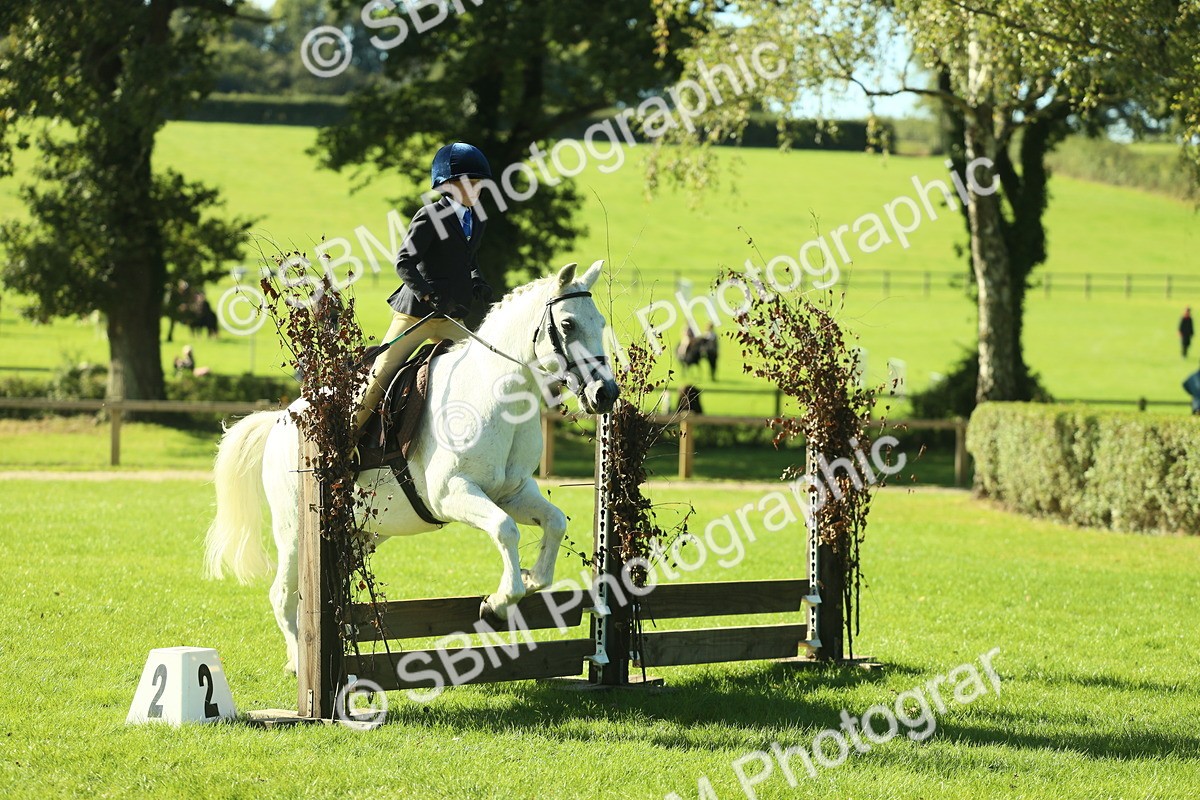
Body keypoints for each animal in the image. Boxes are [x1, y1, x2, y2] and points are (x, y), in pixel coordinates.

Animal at [203, 261, 619, 672]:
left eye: (600, 322)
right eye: (568, 324)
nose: (606, 394)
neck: (498, 395)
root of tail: (282, 418)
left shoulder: (513, 492)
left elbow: (554, 522)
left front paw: (532, 578)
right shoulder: (451, 493)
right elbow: (505, 529)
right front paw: (500, 601)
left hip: (363, 533)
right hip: (295, 529)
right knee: (283, 595)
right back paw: (298, 662)